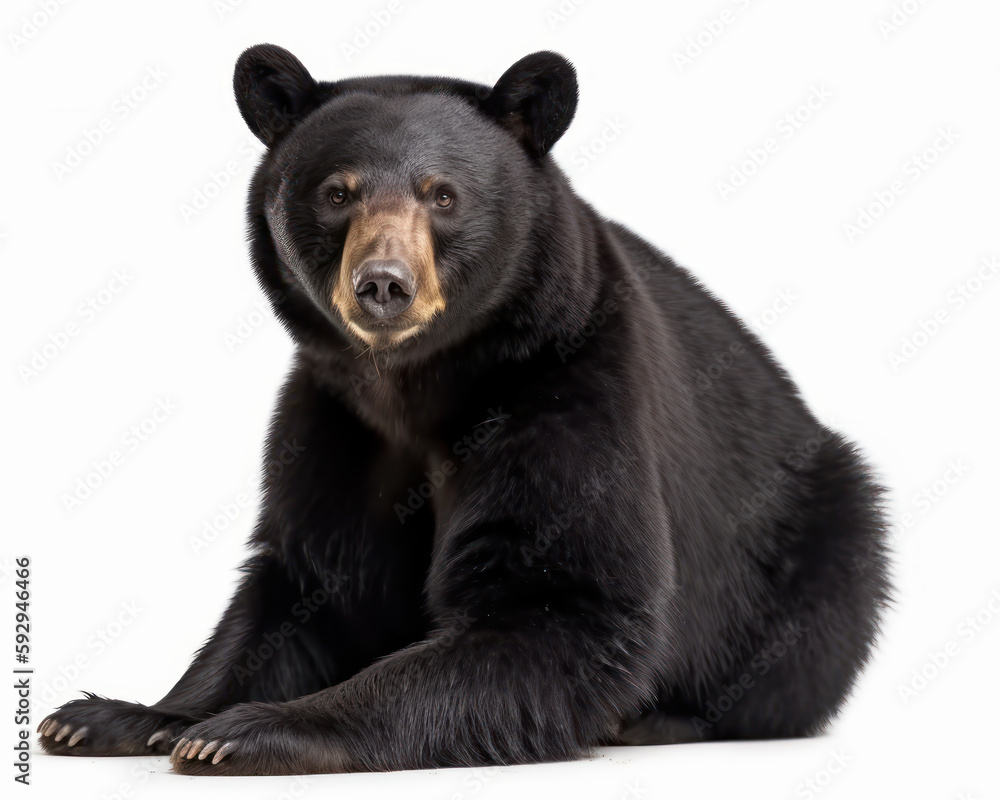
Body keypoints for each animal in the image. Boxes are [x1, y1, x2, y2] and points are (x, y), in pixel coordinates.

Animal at [38, 45, 890, 776]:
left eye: (442, 194)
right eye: (337, 191)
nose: (384, 283)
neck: (414, 386)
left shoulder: (567, 386)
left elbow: (558, 598)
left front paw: (253, 730)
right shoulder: (335, 424)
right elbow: (306, 579)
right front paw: (125, 715)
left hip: (815, 539)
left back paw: (658, 717)